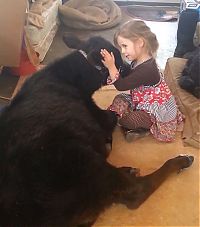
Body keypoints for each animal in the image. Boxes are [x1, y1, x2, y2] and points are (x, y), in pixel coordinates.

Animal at [0, 35, 194, 225]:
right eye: (118, 62)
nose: (130, 69)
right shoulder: (101, 117)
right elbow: (112, 118)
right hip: (85, 162)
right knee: (136, 191)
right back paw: (181, 160)